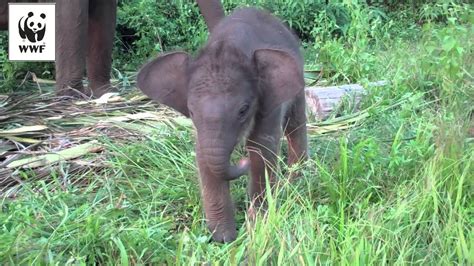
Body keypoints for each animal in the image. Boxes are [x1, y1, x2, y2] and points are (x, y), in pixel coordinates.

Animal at [136, 7, 308, 242]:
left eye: (243, 110)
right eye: (191, 111)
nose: (242, 161)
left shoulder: (268, 102)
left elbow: (261, 149)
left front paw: (257, 225)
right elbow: (203, 156)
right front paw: (224, 239)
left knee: (295, 123)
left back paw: (296, 181)